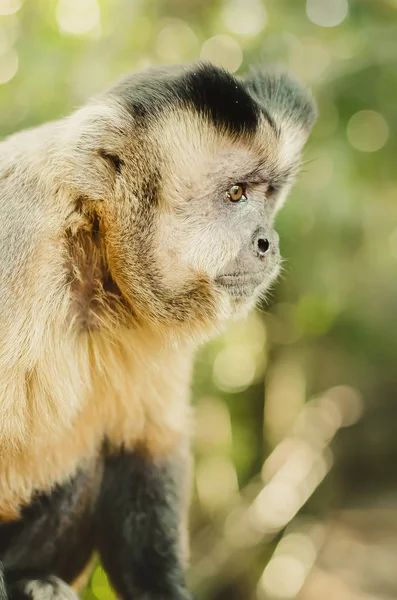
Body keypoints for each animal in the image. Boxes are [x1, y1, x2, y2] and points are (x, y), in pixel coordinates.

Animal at [0, 62, 316, 600]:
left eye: (267, 195)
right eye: (235, 193)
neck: (89, 242)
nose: (268, 240)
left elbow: (146, 446)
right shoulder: (19, 240)